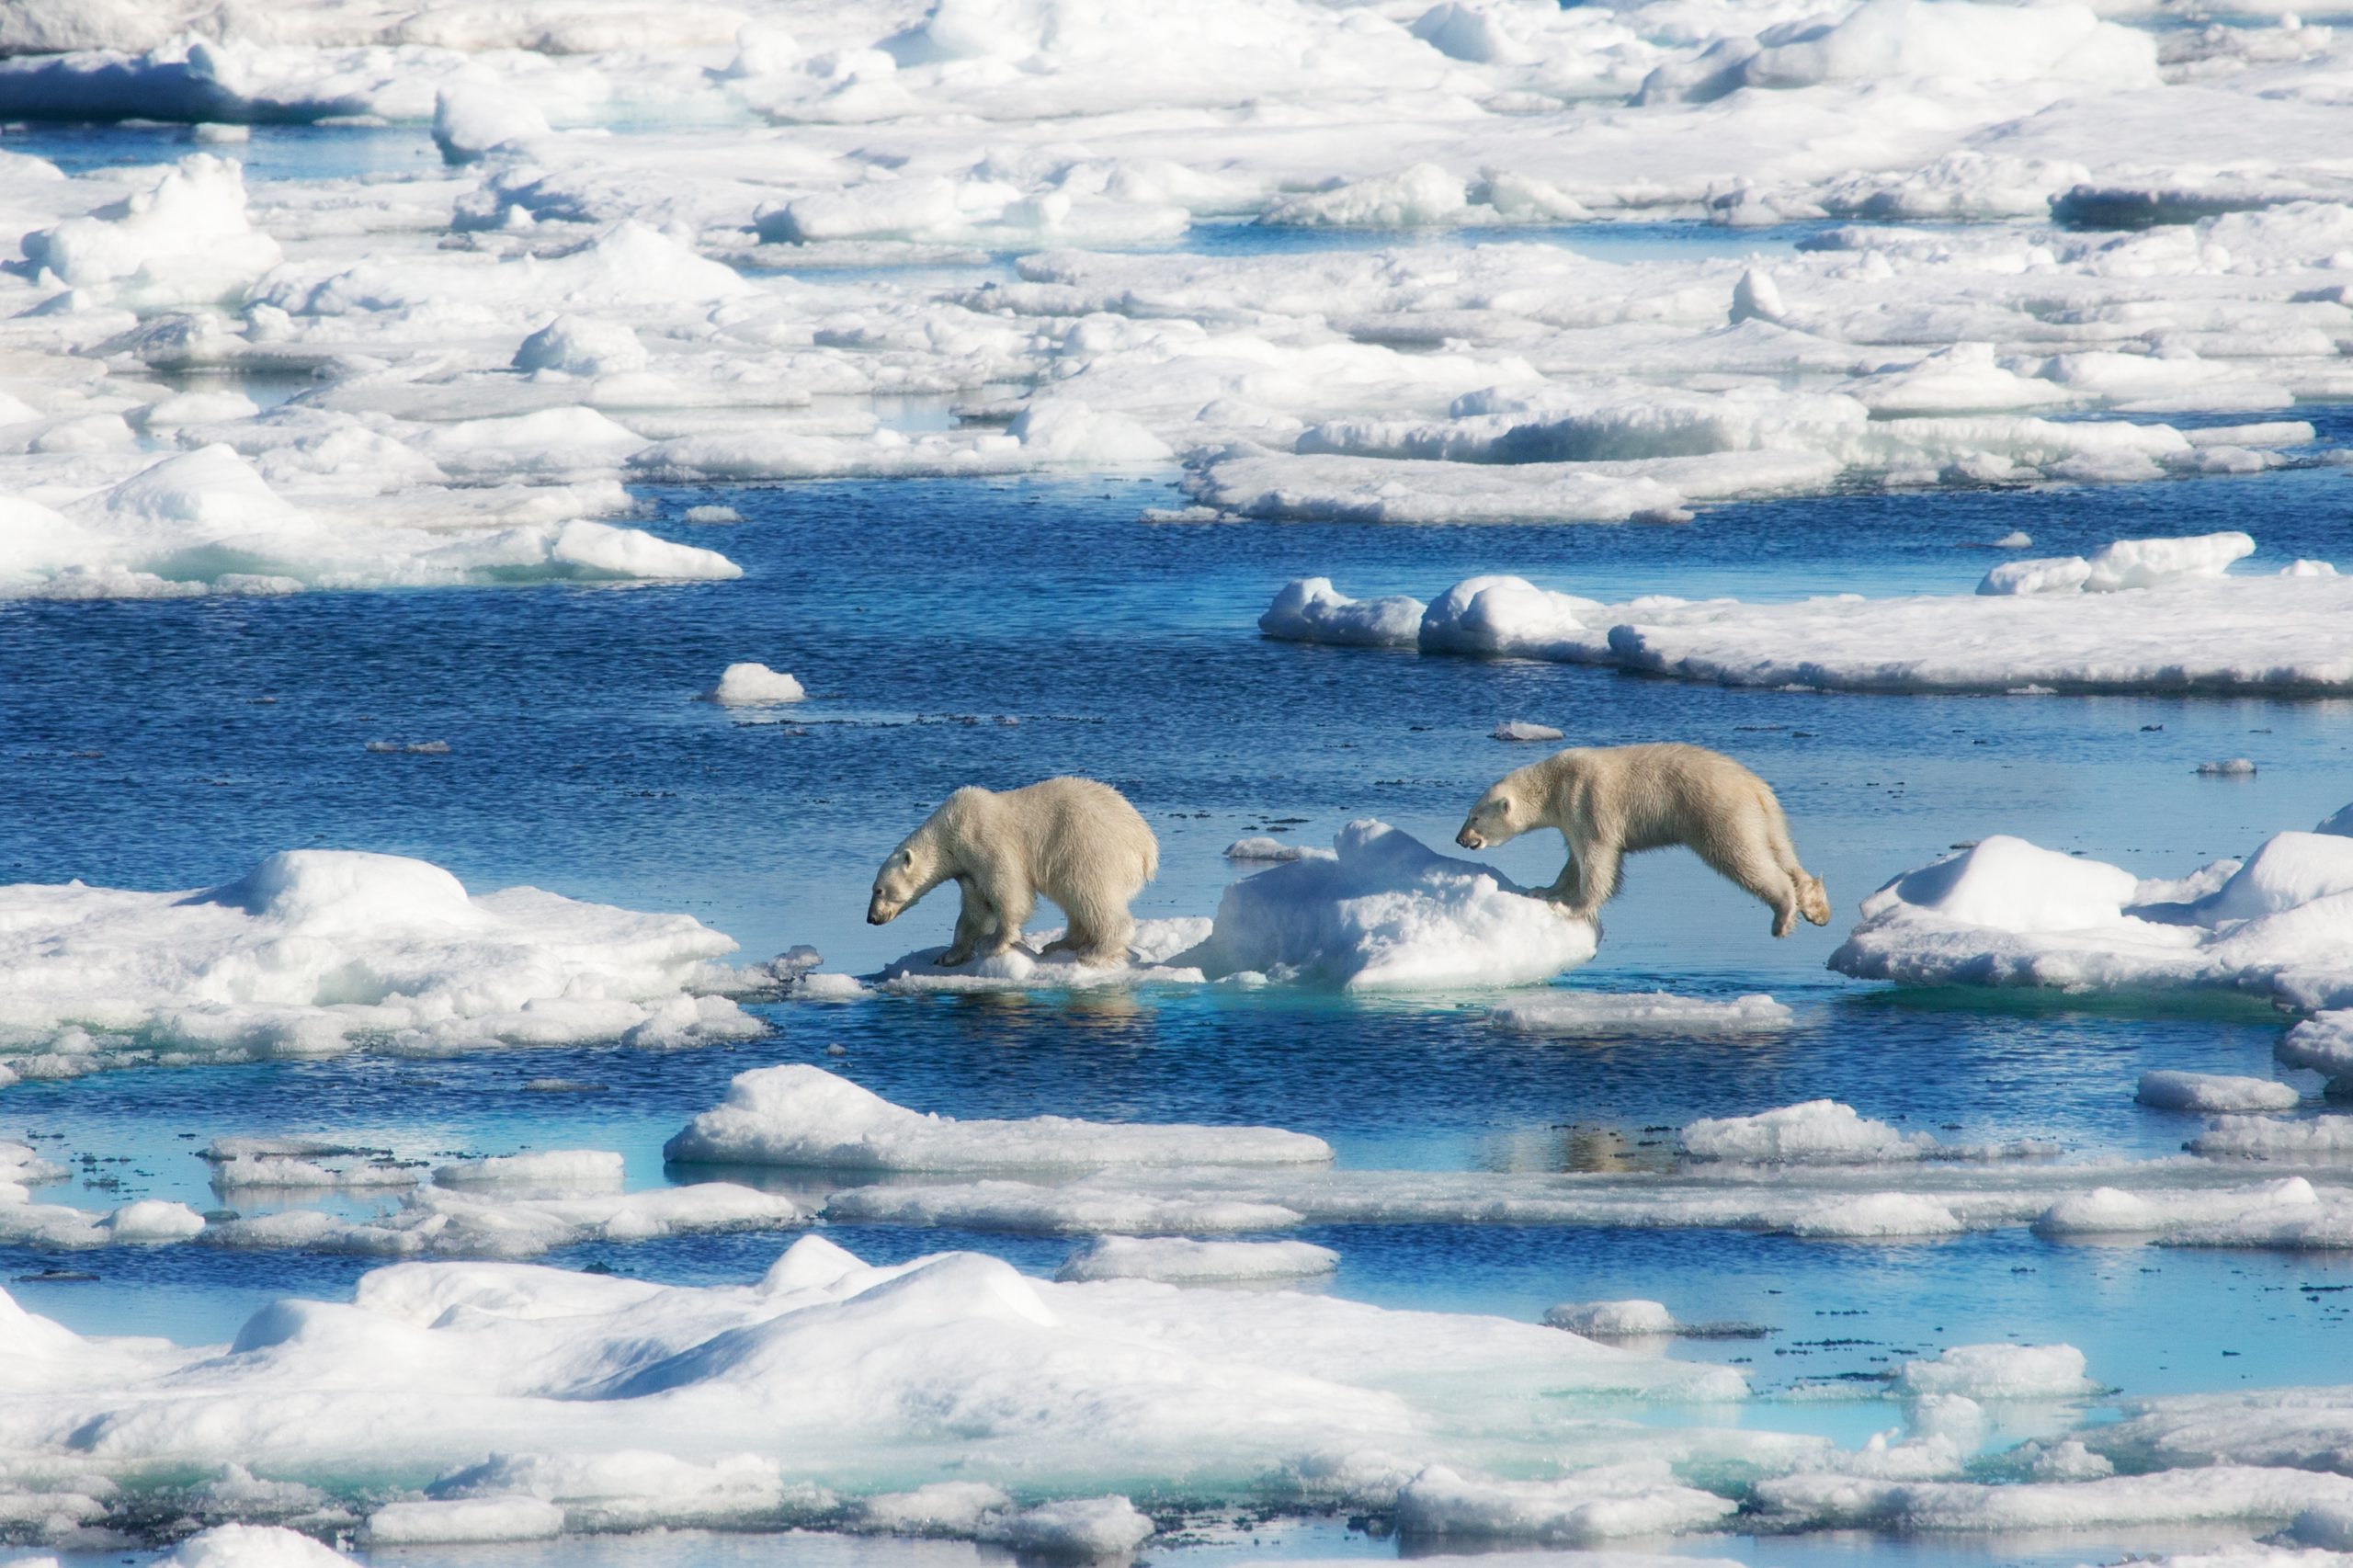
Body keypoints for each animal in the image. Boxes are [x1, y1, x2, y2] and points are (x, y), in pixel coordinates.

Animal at [866, 772, 1157, 965]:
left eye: (878, 890)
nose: (871, 919)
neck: (950, 829)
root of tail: (1146, 846)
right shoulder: (968, 869)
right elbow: (974, 911)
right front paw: (949, 955)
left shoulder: (985, 840)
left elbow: (1009, 890)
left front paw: (995, 944)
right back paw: (1062, 943)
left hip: (1088, 847)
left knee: (1089, 893)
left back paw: (1095, 951)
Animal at [1449, 739, 1835, 932]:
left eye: (1473, 816)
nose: (1460, 839)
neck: (1556, 782)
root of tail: (1756, 788)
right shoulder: (1571, 816)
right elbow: (1572, 861)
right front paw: (1543, 890)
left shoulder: (1587, 801)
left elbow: (1598, 859)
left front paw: (1569, 907)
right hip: (1768, 819)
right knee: (1783, 852)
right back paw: (1816, 907)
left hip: (1719, 812)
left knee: (1742, 857)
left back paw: (1783, 915)